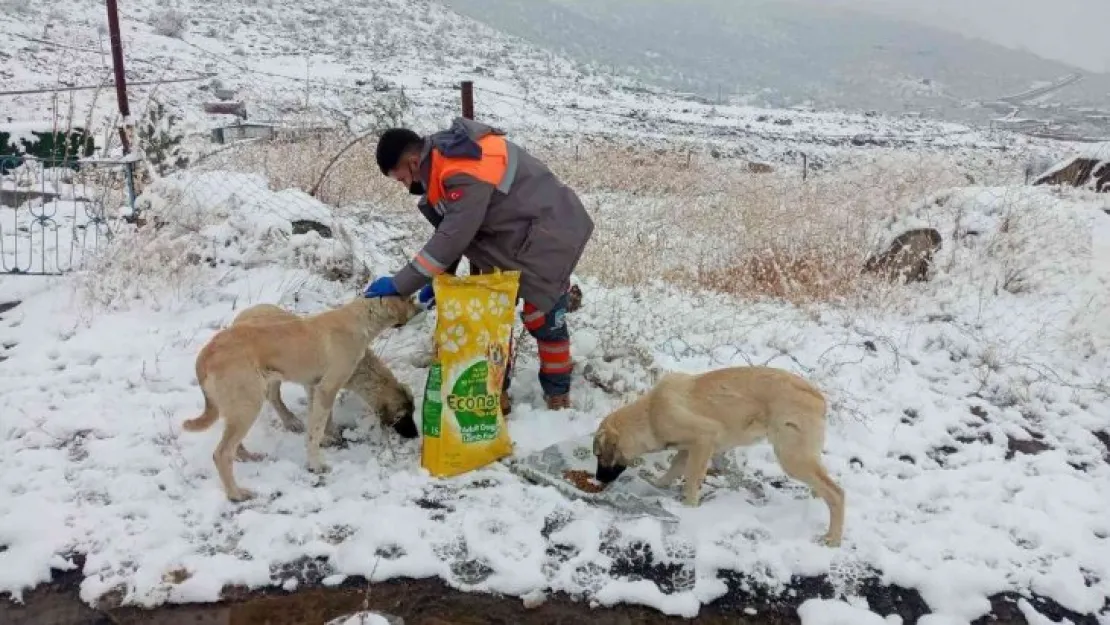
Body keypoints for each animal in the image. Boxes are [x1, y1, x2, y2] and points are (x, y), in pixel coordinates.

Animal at [227, 301, 417, 439]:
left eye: (414, 411)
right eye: (403, 416)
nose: (415, 435)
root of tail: (244, 312)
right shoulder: (320, 385)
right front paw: (330, 435)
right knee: (273, 396)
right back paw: (291, 421)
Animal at [594, 366, 843, 548]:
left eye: (599, 456)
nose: (597, 480)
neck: (649, 415)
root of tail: (818, 398)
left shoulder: (704, 439)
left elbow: (691, 480)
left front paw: (689, 508)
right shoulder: (688, 448)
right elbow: (674, 468)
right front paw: (658, 484)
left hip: (792, 457)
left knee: (837, 493)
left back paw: (833, 539)